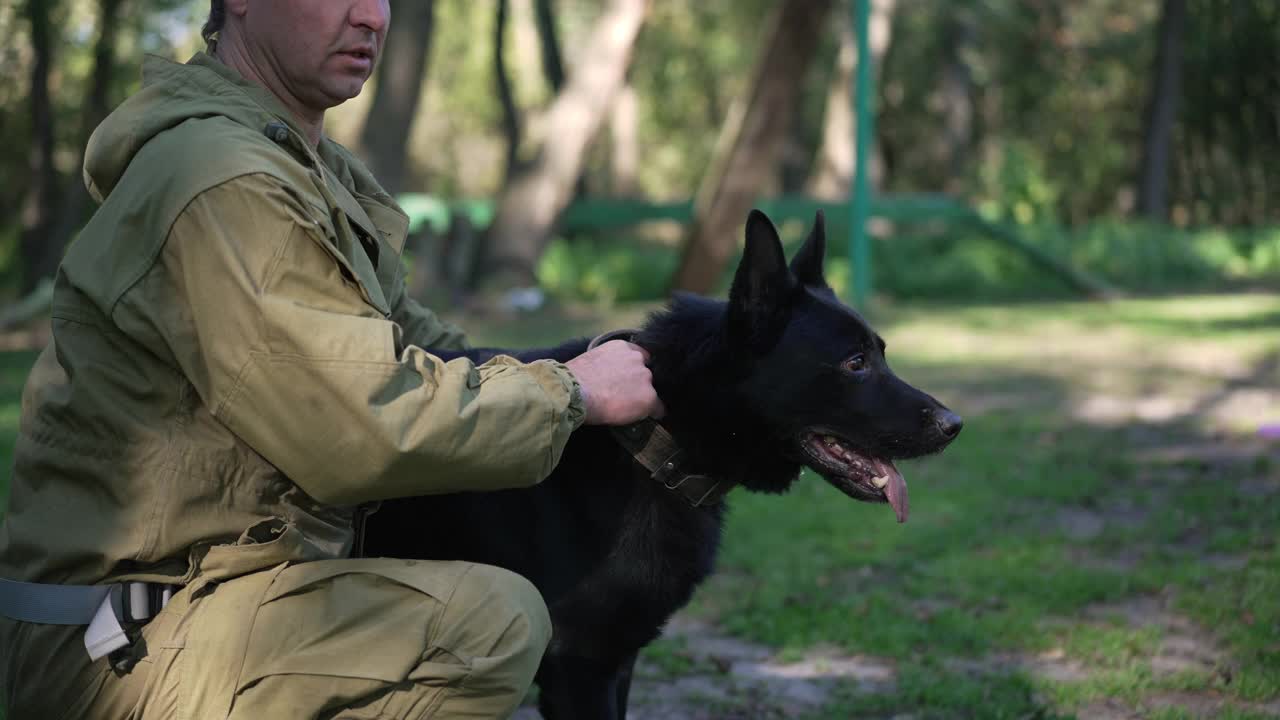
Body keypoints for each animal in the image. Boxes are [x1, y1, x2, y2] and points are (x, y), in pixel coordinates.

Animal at [363, 210, 962, 712]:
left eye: (880, 353)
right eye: (855, 362)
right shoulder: (581, 664)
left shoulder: (618, 660)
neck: (651, 438)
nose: (954, 424)